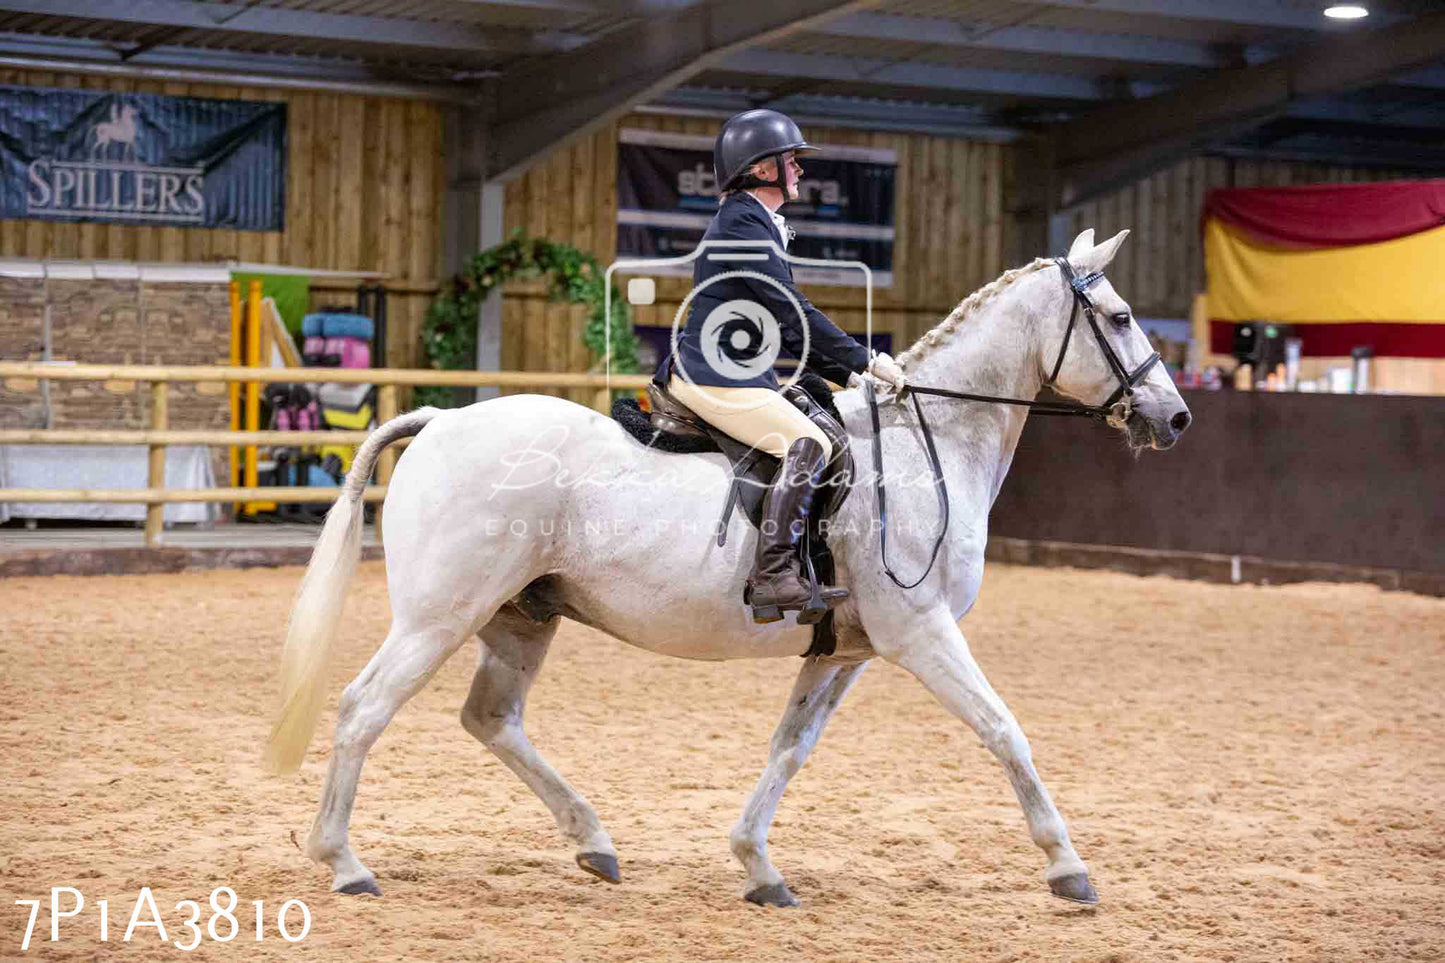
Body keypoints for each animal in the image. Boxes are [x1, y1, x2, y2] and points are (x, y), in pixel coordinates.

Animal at [265, 228, 1190, 902]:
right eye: (1116, 317)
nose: (1174, 417)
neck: (924, 446)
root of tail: (440, 421)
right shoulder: (920, 633)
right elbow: (1004, 729)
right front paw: (1067, 865)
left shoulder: (845, 651)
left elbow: (789, 749)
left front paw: (757, 864)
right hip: (441, 615)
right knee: (363, 707)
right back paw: (344, 860)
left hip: (521, 615)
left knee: (491, 718)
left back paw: (594, 843)